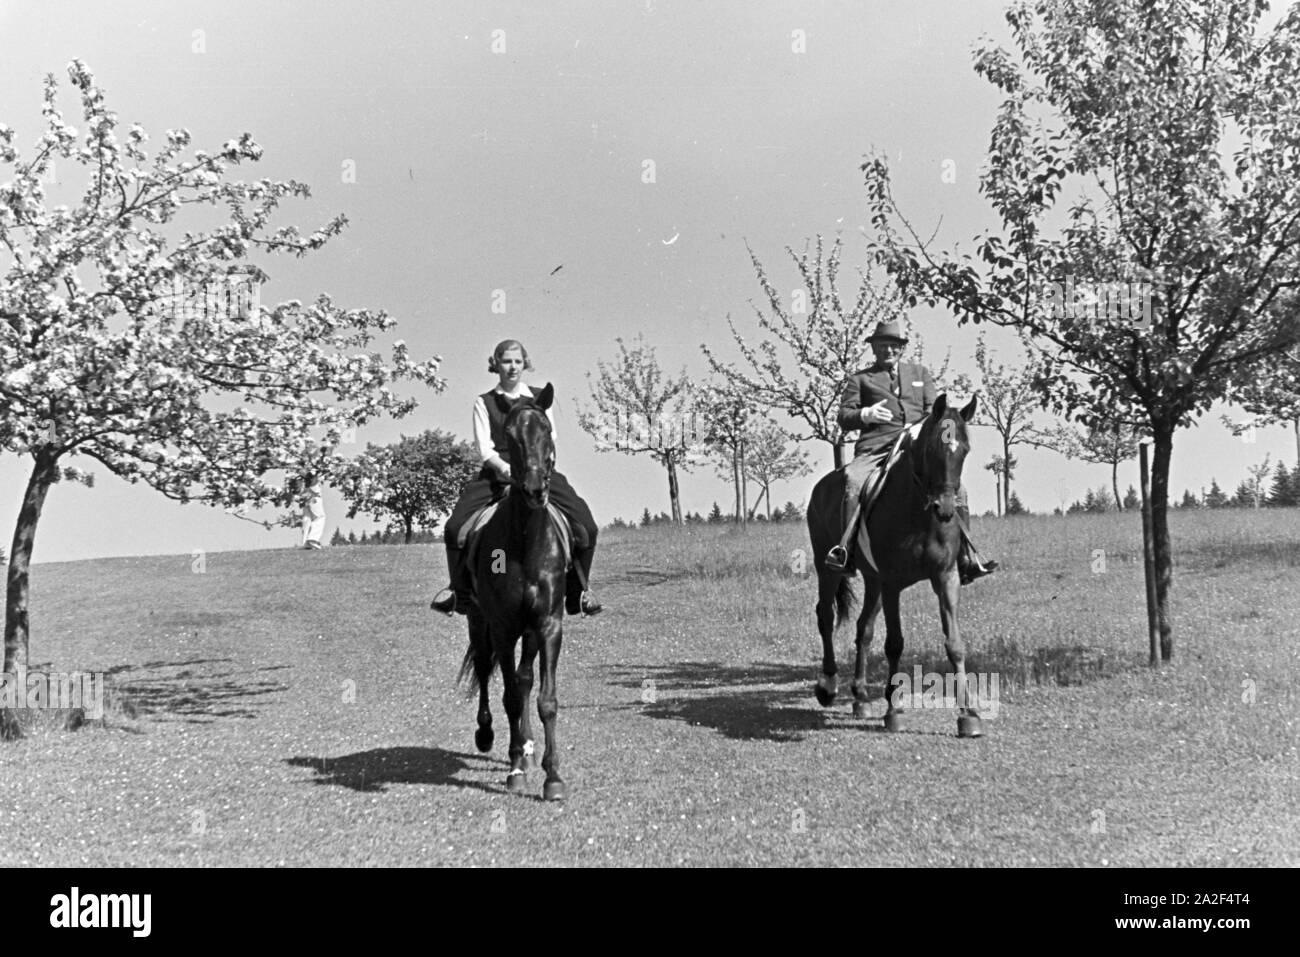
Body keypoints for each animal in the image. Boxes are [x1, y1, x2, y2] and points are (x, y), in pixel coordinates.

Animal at [462, 382, 569, 800]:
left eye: (547, 430)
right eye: (509, 436)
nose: (536, 489)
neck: (525, 541)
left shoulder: (548, 624)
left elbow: (545, 699)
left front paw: (553, 776)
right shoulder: (504, 626)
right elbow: (508, 696)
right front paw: (515, 770)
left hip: (531, 630)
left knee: (523, 680)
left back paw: (527, 746)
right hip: (479, 622)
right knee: (485, 668)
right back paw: (489, 736)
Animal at [800, 392, 982, 738]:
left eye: (965, 449)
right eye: (932, 448)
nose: (945, 508)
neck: (918, 513)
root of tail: (821, 487)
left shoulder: (946, 577)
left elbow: (955, 643)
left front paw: (969, 715)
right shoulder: (892, 584)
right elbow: (895, 644)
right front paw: (894, 710)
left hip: (873, 582)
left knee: (863, 630)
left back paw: (860, 697)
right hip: (827, 568)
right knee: (824, 615)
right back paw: (828, 685)